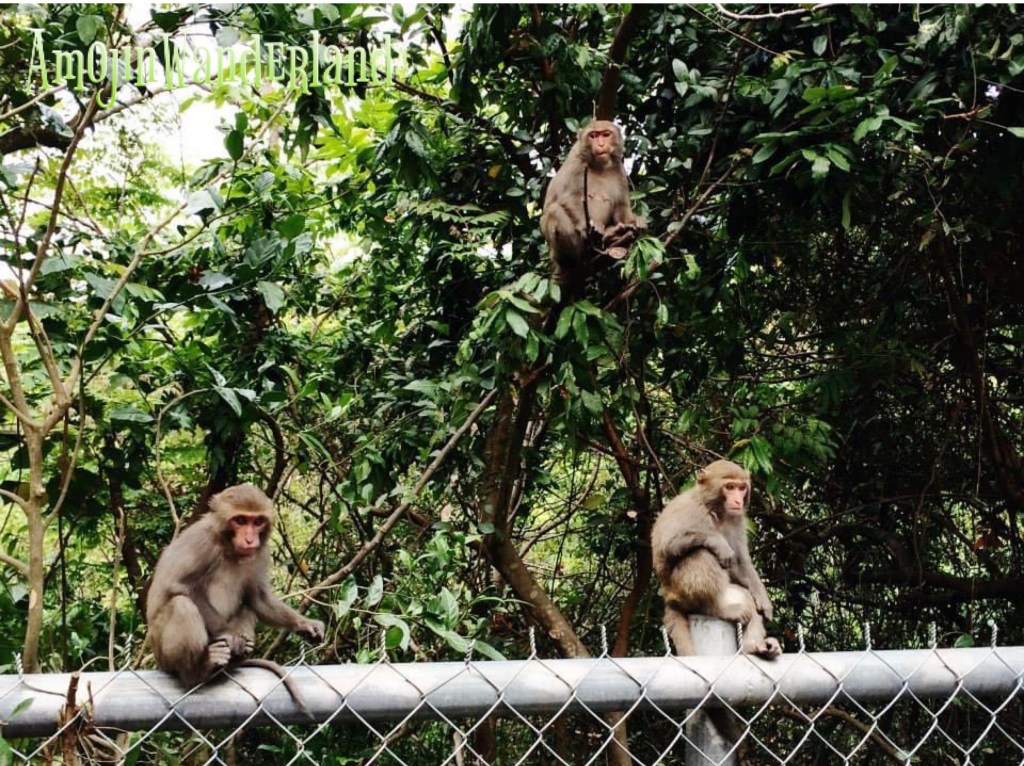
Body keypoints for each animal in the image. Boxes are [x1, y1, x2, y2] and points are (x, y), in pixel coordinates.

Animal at [146, 484, 325, 714]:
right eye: (240, 520)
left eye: (257, 522)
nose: (250, 539)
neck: (228, 545)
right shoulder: (202, 542)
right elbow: (178, 584)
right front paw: (230, 635)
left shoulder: (260, 552)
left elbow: (258, 598)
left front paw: (305, 624)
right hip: (162, 652)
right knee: (182, 605)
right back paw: (196, 672)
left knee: (248, 608)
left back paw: (235, 659)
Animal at [540, 119, 645, 298]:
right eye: (593, 136)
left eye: (606, 134)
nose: (601, 144)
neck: (600, 166)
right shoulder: (576, 162)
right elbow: (566, 197)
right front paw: (588, 226)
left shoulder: (618, 168)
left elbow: (620, 206)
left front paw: (631, 225)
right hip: (557, 251)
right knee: (554, 211)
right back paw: (578, 256)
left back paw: (611, 236)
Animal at [651, 460, 781, 660]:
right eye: (729, 487)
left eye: (741, 488)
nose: (738, 500)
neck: (714, 509)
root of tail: (669, 598)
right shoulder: (689, 509)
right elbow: (667, 543)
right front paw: (719, 543)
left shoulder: (737, 519)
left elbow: (740, 562)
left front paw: (763, 599)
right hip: (680, 592)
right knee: (701, 553)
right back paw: (713, 607)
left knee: (746, 598)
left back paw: (753, 647)